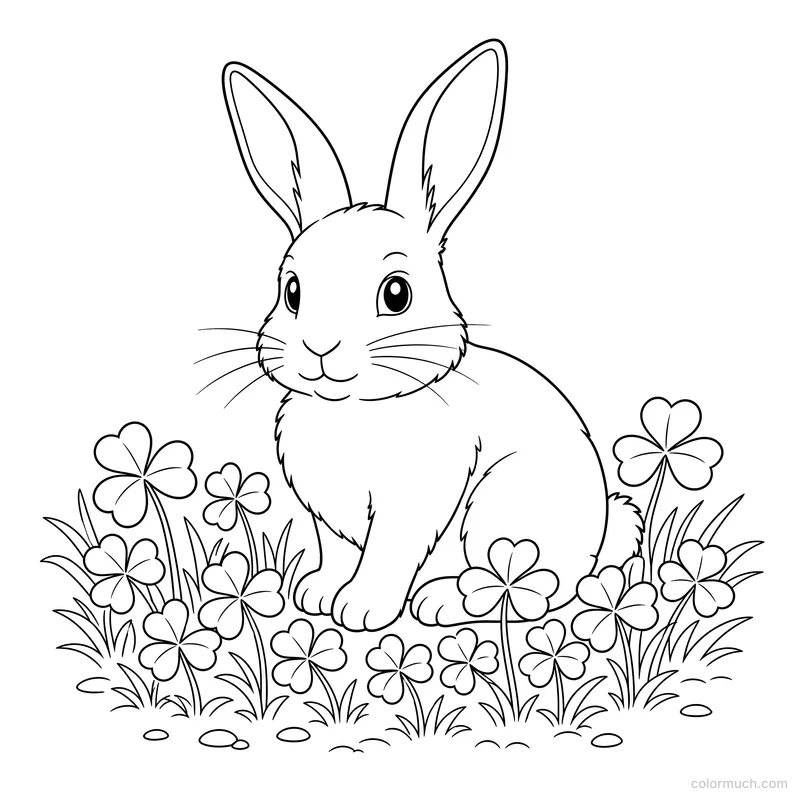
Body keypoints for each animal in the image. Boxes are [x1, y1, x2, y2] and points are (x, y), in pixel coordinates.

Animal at [221, 40, 641, 632]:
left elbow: (387, 554)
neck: (355, 410)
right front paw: (317, 595)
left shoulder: (412, 503)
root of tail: (599, 531)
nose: (320, 348)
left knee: (533, 589)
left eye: (397, 294)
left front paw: (359, 610)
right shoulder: (326, 512)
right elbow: (336, 552)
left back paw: (443, 601)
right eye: (293, 291)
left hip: (502, 512)